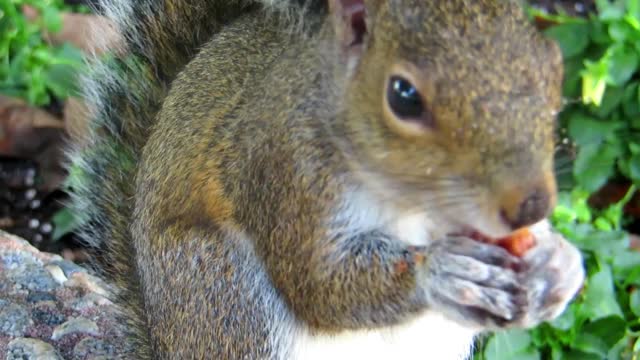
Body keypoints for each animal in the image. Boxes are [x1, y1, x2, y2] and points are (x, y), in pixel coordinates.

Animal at [69, 0, 584, 358]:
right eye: (403, 96)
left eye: (554, 71)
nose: (531, 204)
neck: (415, 201)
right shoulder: (284, 170)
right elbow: (317, 285)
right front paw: (438, 271)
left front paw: (559, 265)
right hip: (223, 291)